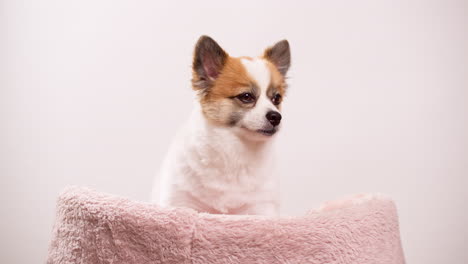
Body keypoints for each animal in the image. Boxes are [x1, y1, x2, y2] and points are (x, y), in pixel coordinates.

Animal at [151, 35, 288, 217]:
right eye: (246, 97)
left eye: (277, 99)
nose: (276, 117)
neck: (234, 152)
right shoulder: (181, 202)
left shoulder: (260, 208)